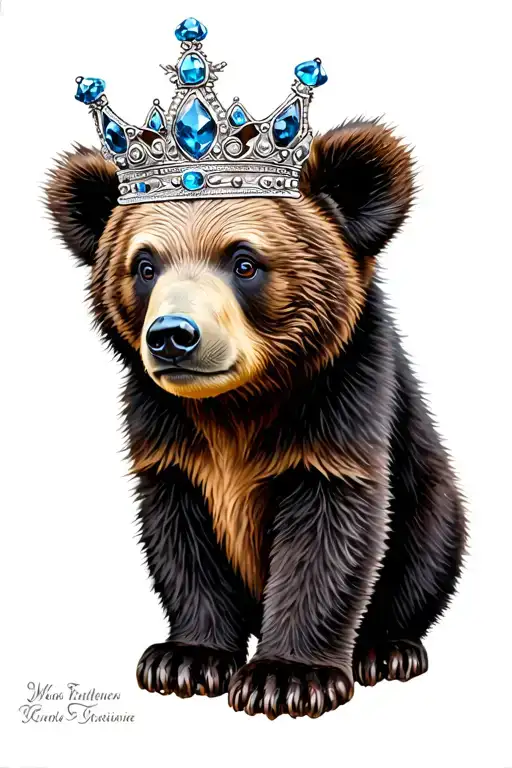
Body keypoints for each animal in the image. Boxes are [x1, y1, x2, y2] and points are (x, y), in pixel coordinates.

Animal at [46, 120, 466, 719]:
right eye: (145, 266)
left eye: (244, 262)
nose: (173, 335)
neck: (237, 405)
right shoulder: (165, 431)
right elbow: (181, 535)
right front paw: (186, 660)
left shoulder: (341, 405)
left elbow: (330, 531)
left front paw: (288, 678)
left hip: (429, 496)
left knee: (428, 548)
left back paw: (387, 650)